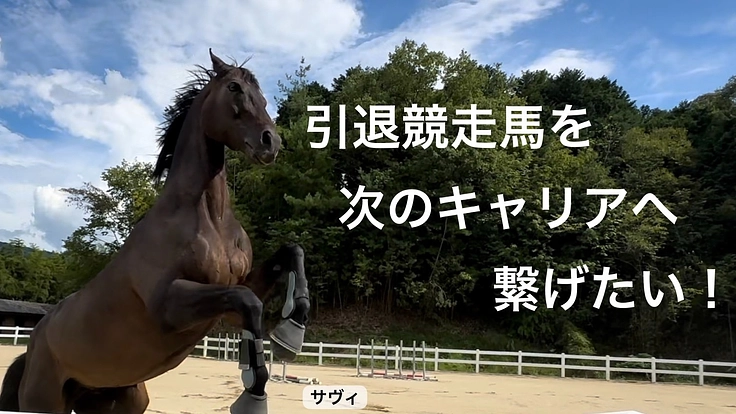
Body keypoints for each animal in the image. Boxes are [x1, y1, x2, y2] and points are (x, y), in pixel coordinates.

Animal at [0, 50, 311, 414]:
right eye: (234, 87)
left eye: (262, 96)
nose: (271, 142)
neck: (210, 220)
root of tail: (32, 344)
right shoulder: (169, 306)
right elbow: (249, 302)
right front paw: (253, 394)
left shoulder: (232, 300)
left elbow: (290, 255)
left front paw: (291, 332)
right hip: (43, 401)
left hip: (121, 400)